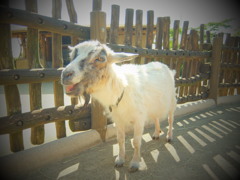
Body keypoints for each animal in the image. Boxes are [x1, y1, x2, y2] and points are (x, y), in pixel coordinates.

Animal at [60, 40, 176, 172]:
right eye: (72, 56)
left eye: (100, 58)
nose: (65, 75)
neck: (121, 89)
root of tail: (165, 66)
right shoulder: (118, 120)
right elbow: (120, 140)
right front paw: (120, 160)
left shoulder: (139, 119)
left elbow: (136, 142)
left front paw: (135, 163)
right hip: (154, 105)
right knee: (156, 117)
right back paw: (156, 134)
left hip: (172, 101)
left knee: (170, 120)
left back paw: (169, 137)